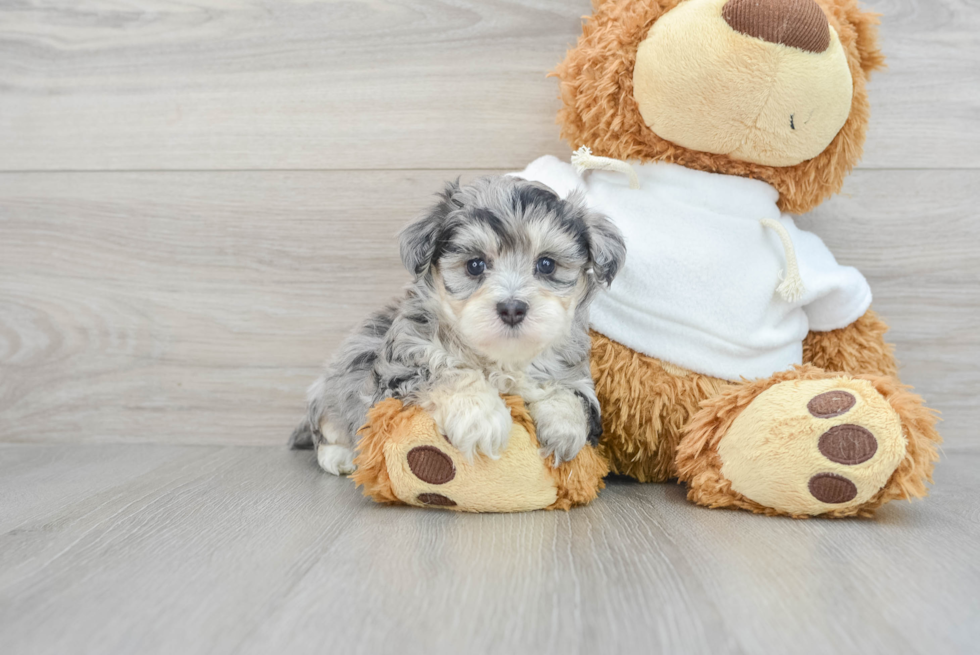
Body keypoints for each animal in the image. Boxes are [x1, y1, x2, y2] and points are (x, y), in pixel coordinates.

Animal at [290, 174, 628, 476]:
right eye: (475, 265)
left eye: (546, 264)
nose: (512, 308)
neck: (502, 359)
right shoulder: (400, 368)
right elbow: (449, 371)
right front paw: (482, 418)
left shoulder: (575, 374)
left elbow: (569, 394)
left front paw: (564, 429)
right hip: (334, 387)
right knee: (327, 431)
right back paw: (341, 457)